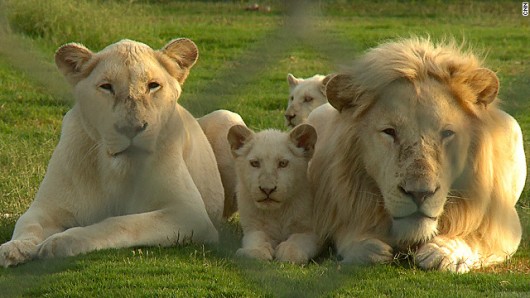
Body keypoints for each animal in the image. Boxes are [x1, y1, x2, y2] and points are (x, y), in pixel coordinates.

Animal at [0, 37, 223, 268]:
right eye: (106, 87)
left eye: (153, 86)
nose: (131, 128)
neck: (116, 168)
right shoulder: (46, 207)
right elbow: (27, 223)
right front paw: (14, 248)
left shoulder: (189, 212)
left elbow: (120, 223)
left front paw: (61, 242)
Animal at [226, 124, 318, 264]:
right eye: (255, 163)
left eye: (283, 163)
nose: (267, 189)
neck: (277, 212)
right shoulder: (254, 226)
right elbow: (257, 238)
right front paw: (255, 252)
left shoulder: (313, 230)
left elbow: (299, 238)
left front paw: (290, 252)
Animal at [308, 38, 524, 274]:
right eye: (390, 132)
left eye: (446, 133)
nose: (419, 193)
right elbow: (347, 234)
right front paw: (369, 248)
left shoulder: (505, 224)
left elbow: (476, 238)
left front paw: (443, 253)